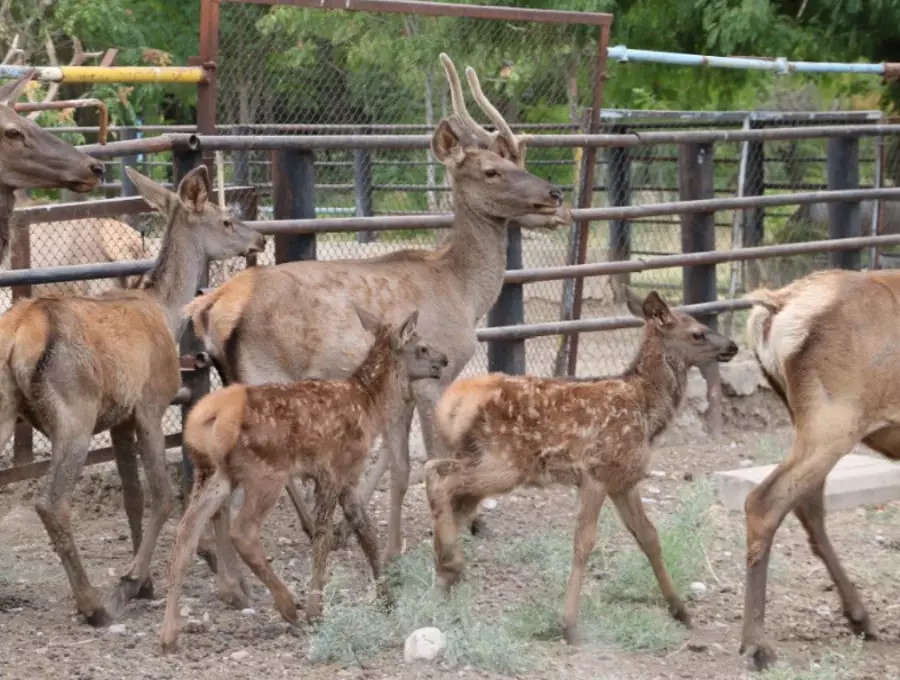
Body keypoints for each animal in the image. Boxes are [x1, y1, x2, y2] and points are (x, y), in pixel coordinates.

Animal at [0, 163, 264, 628]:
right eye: (226, 221)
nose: (261, 239)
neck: (166, 310)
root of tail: (18, 336)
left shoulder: (119, 420)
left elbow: (133, 497)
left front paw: (145, 583)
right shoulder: (150, 406)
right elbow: (162, 494)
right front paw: (131, 581)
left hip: (5, 406)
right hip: (74, 415)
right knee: (51, 502)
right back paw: (92, 603)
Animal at [160, 306, 448, 652]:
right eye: (421, 346)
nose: (444, 360)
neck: (368, 405)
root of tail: (207, 419)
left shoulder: (349, 477)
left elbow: (366, 532)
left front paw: (387, 598)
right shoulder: (332, 470)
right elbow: (323, 535)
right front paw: (316, 608)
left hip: (213, 474)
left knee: (185, 535)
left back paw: (170, 631)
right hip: (264, 472)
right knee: (242, 531)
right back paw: (288, 607)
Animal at [185, 53, 572, 560]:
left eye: (513, 160)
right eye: (492, 170)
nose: (556, 196)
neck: (464, 292)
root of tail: (212, 305)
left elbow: (395, 459)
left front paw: (375, 536)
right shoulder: (436, 376)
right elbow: (435, 457)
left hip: (232, 374)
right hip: (266, 372)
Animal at [422, 290, 740, 644]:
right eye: (698, 333)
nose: (733, 346)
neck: (647, 412)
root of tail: (454, 403)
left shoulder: (623, 480)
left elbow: (649, 536)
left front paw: (681, 611)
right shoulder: (596, 473)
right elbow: (583, 542)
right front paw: (569, 625)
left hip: (479, 454)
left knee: (441, 479)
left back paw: (444, 573)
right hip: (505, 462)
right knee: (440, 478)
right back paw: (451, 564)